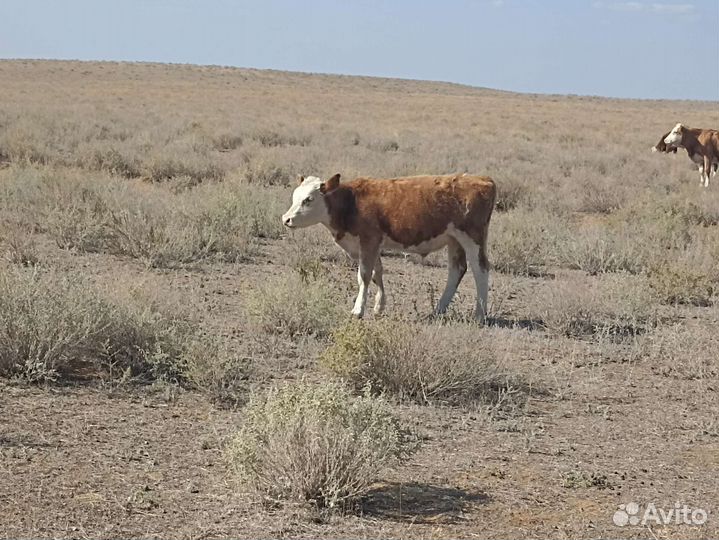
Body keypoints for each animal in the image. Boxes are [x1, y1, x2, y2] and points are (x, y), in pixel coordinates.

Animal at [281, 173, 496, 320]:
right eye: (295, 196)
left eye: (309, 199)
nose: (286, 219)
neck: (351, 202)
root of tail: (483, 179)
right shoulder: (373, 244)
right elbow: (377, 273)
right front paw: (379, 306)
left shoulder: (369, 240)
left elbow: (364, 276)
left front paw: (358, 310)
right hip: (454, 240)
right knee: (457, 270)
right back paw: (438, 310)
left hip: (472, 237)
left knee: (480, 269)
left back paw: (480, 314)